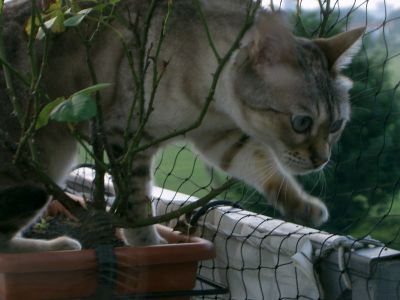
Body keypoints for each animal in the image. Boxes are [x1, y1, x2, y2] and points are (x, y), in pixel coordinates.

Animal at [0, 0, 362, 252]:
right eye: (301, 123)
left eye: (336, 125)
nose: (322, 160)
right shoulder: (128, 138)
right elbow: (137, 204)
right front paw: (147, 246)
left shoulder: (220, 136)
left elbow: (264, 165)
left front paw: (304, 207)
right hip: (39, 167)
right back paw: (57, 246)